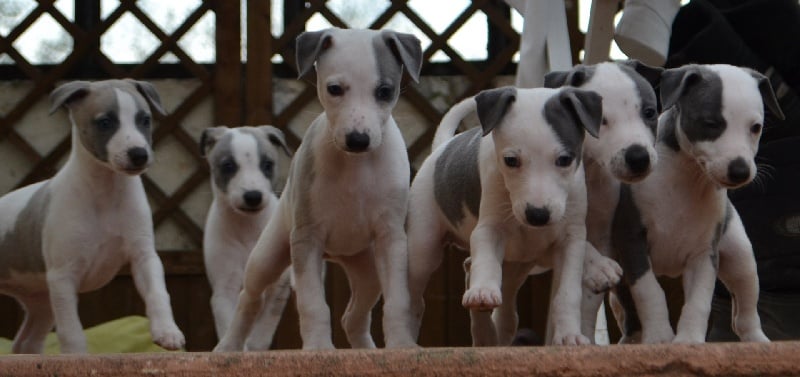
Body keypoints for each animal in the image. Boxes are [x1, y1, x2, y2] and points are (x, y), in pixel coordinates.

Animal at [0, 79, 184, 352]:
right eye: (105, 122)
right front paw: (76, 356)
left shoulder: (143, 256)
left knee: (26, 343)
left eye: (145, 119)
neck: (106, 192)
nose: (139, 154)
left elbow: (158, 293)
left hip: (40, 301)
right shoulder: (63, 276)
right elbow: (71, 331)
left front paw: (167, 331)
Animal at [200, 125, 294, 350]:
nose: (253, 196)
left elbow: (264, 326)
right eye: (228, 166)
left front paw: (254, 346)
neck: (247, 227)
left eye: (267, 165)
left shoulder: (278, 287)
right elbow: (231, 322)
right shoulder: (224, 288)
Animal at [212, 27, 424, 350]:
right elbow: (313, 304)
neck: (354, 166)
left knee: (352, 316)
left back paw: (367, 350)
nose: (358, 139)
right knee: (249, 299)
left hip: (368, 271)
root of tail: (335, 255)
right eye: (334, 89)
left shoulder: (391, 239)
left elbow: (398, 300)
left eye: (385, 91)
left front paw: (401, 345)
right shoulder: (306, 239)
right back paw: (229, 346)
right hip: (268, 256)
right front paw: (318, 348)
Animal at [410, 86, 604, 346]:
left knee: (485, 284)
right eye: (511, 160)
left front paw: (569, 336)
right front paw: (483, 291)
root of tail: (441, 148)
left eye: (565, 160)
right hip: (422, 250)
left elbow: (567, 293)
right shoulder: (489, 229)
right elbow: (486, 261)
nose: (537, 215)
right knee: (411, 301)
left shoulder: (571, 239)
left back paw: (487, 335)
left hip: (517, 264)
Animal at [616, 64, 784, 344]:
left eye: (756, 127)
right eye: (711, 123)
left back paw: (758, 341)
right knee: (628, 313)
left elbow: (698, 302)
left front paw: (689, 340)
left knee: (744, 313)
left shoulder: (704, 254)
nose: (740, 171)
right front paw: (659, 338)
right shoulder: (633, 243)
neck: (686, 178)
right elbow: (650, 293)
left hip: (741, 259)